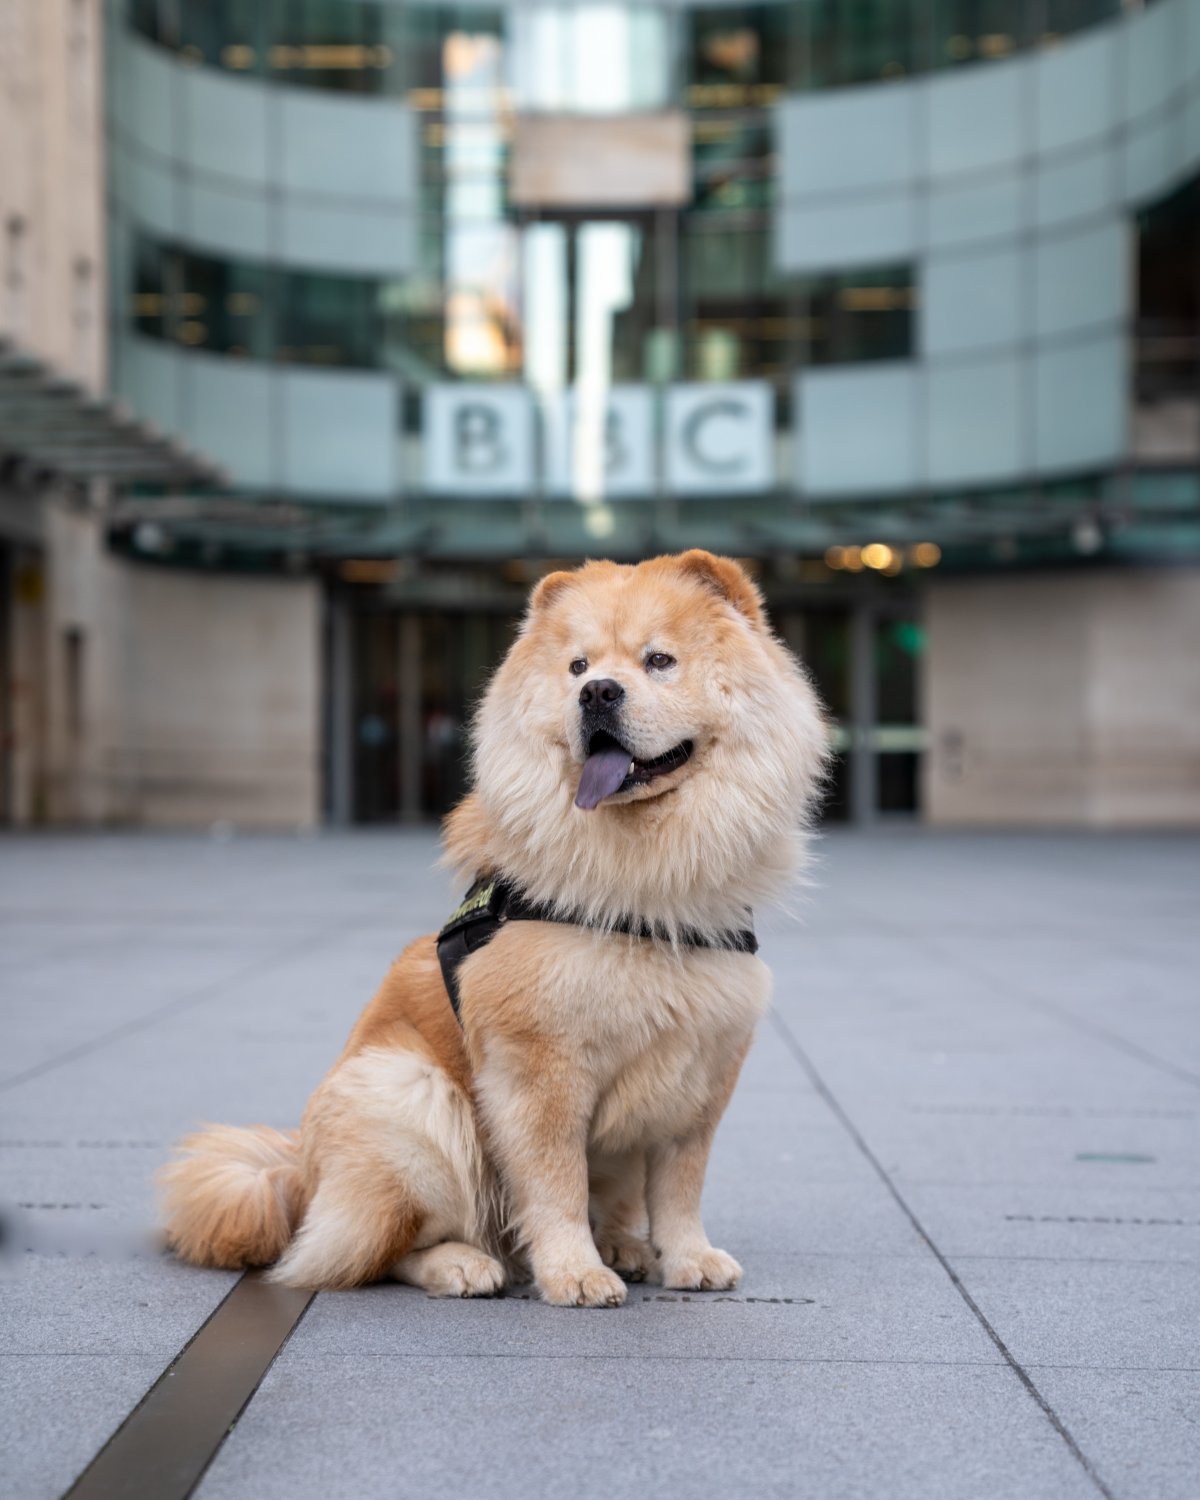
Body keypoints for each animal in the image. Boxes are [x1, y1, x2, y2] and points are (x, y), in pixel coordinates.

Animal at [162, 552, 828, 1302]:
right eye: (577, 666)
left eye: (659, 661)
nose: (598, 693)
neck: (646, 893)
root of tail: (299, 1173)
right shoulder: (539, 1070)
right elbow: (556, 1183)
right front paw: (575, 1274)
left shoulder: (703, 1070)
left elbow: (680, 1188)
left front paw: (689, 1259)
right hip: (412, 1098)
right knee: (378, 1247)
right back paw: (467, 1266)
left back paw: (625, 1246)